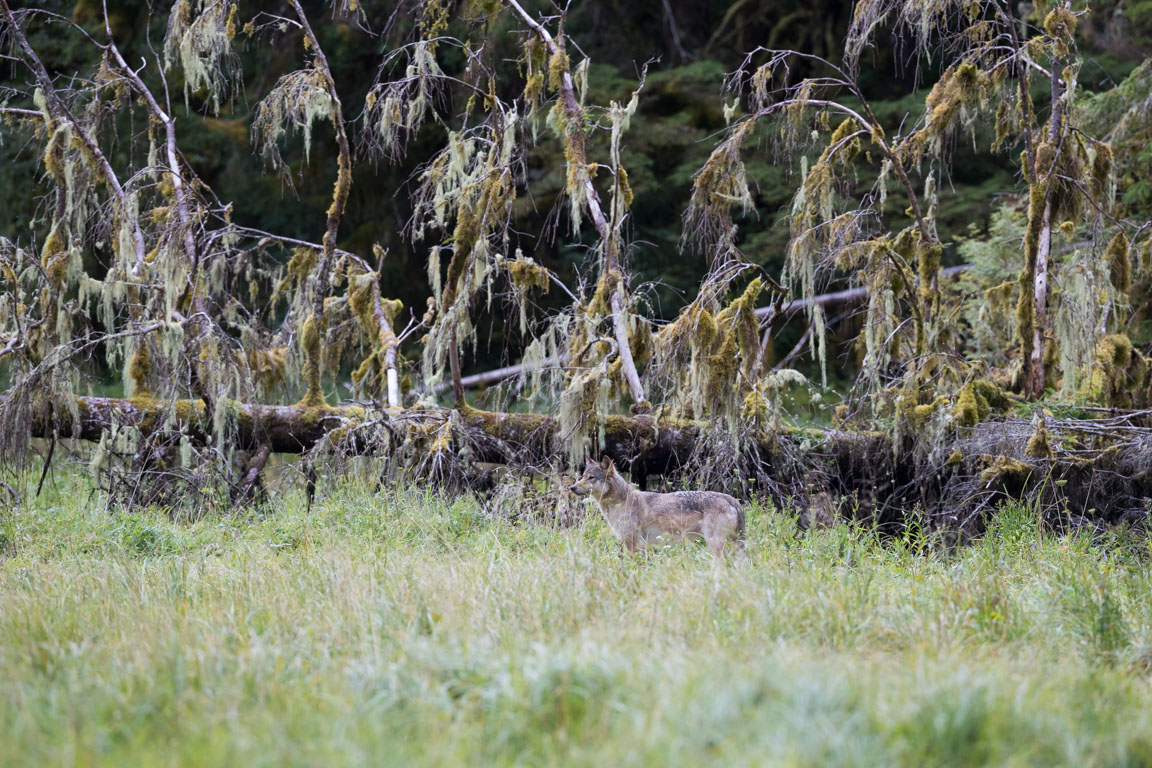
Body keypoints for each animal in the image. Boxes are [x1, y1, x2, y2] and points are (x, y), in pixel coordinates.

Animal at [569, 455, 746, 559]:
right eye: (582, 477)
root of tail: (732, 500)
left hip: (716, 545)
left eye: (591, 478)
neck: (622, 500)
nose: (571, 487)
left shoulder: (633, 544)